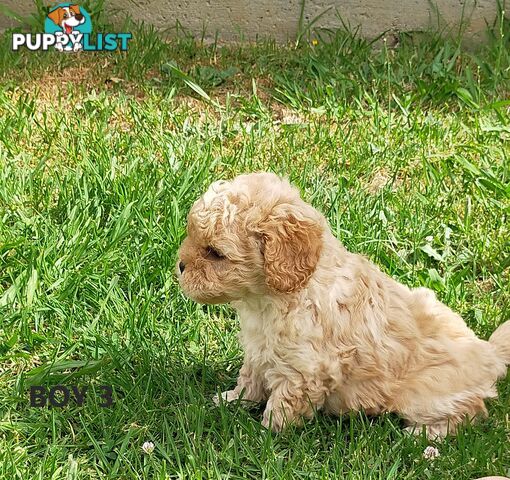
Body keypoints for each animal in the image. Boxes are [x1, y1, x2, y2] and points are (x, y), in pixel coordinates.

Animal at [176, 172, 510, 438]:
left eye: (215, 253)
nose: (179, 265)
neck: (270, 299)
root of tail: (490, 353)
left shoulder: (304, 369)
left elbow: (283, 404)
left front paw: (266, 436)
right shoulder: (260, 350)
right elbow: (250, 378)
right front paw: (232, 400)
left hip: (425, 395)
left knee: (472, 410)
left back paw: (425, 435)